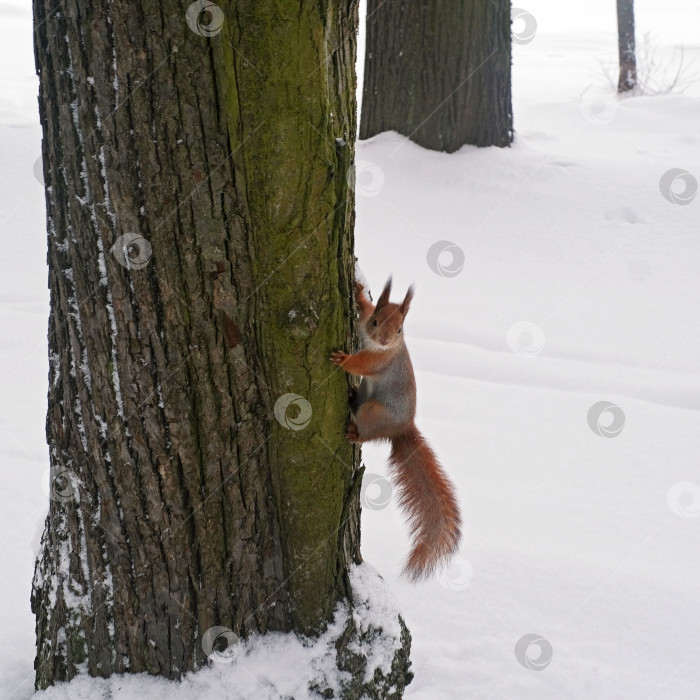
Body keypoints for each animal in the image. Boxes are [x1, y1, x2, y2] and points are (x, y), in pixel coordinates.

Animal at [330, 278, 462, 580]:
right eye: (376, 321)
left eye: (400, 329)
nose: (384, 340)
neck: (379, 346)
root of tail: (402, 428)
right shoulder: (365, 324)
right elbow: (364, 309)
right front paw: (359, 291)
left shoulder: (379, 360)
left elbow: (361, 364)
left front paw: (344, 360)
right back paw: (352, 395)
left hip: (373, 411)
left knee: (368, 433)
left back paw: (355, 432)